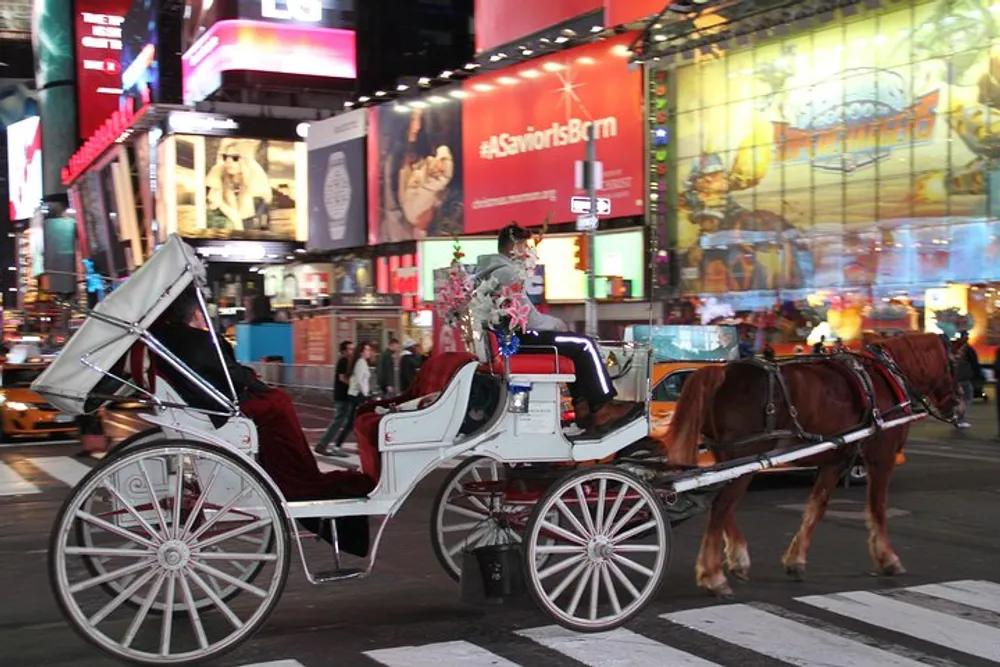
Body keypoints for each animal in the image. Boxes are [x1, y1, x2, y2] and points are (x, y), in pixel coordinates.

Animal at [660, 334, 964, 600]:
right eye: (955, 365)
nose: (960, 407)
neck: (886, 377)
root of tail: (722, 372)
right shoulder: (882, 457)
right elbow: (877, 508)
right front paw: (887, 558)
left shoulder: (834, 459)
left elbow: (816, 507)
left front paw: (795, 560)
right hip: (747, 453)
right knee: (722, 505)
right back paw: (713, 576)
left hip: (731, 456)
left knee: (723, 505)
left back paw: (737, 560)